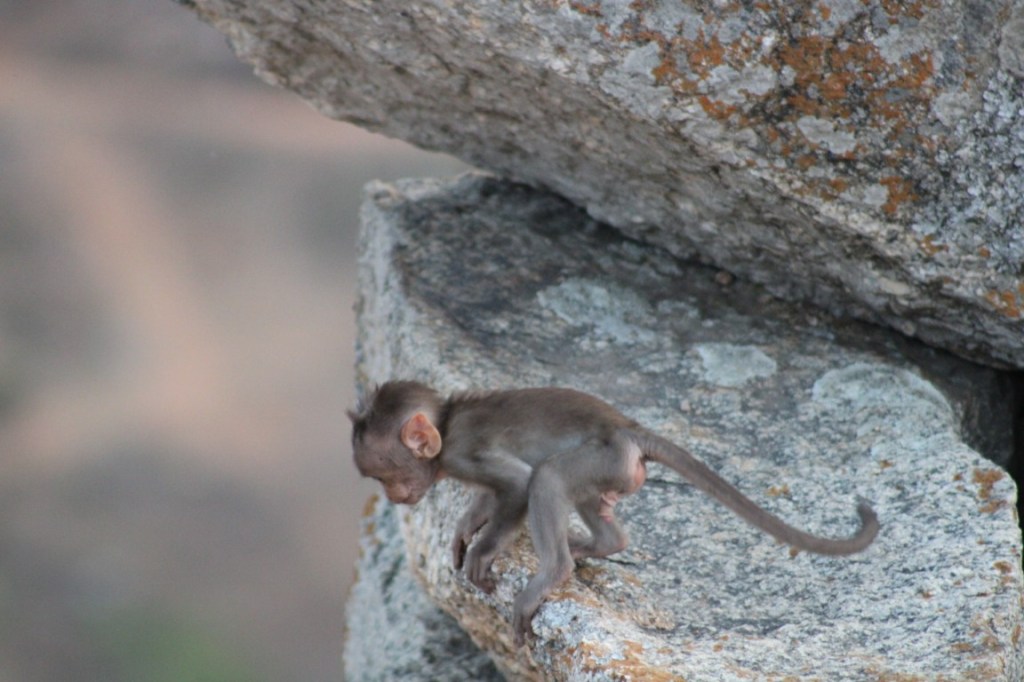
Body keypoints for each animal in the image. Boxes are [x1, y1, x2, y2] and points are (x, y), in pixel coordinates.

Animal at [348, 381, 879, 646]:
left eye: (385, 474)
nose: (394, 497)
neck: (447, 423)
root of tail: (630, 429)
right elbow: (491, 497)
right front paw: (465, 528)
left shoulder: (464, 452)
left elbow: (517, 484)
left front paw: (482, 552)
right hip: (612, 471)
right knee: (590, 506)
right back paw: (600, 545)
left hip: (603, 456)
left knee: (548, 478)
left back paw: (555, 569)